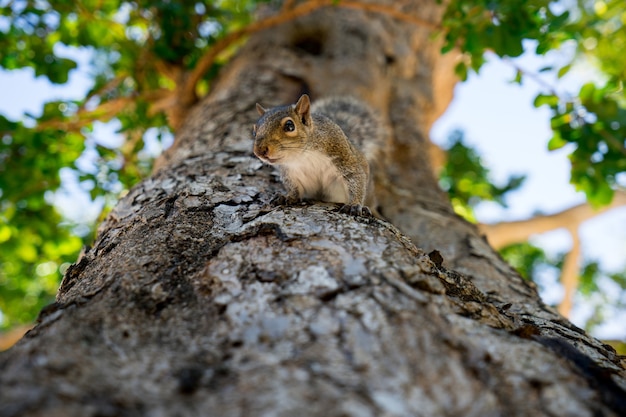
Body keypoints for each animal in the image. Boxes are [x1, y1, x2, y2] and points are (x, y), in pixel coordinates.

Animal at [250, 94, 378, 216]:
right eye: (254, 130)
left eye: (290, 126)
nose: (259, 151)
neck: (303, 156)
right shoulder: (290, 173)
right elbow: (294, 187)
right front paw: (288, 196)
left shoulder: (341, 153)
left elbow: (355, 177)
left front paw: (354, 205)